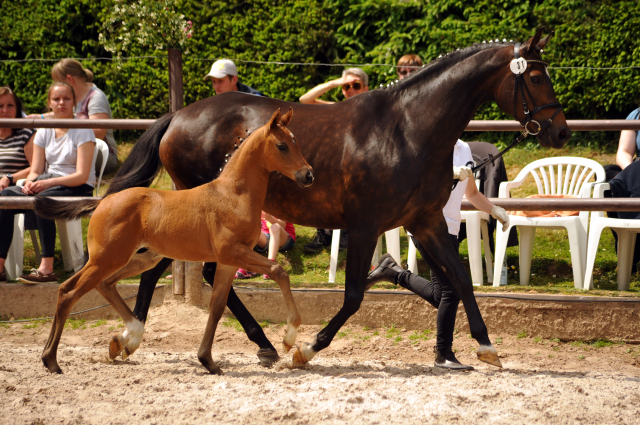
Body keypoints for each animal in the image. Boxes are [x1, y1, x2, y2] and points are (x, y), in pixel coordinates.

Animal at [35, 107, 316, 372]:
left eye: (296, 142)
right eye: (282, 145)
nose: (308, 175)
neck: (233, 194)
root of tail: (103, 201)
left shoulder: (228, 261)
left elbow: (216, 307)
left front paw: (208, 361)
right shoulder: (233, 252)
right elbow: (278, 271)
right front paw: (289, 339)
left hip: (140, 258)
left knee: (99, 285)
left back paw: (126, 339)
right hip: (107, 258)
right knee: (69, 292)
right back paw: (51, 360)